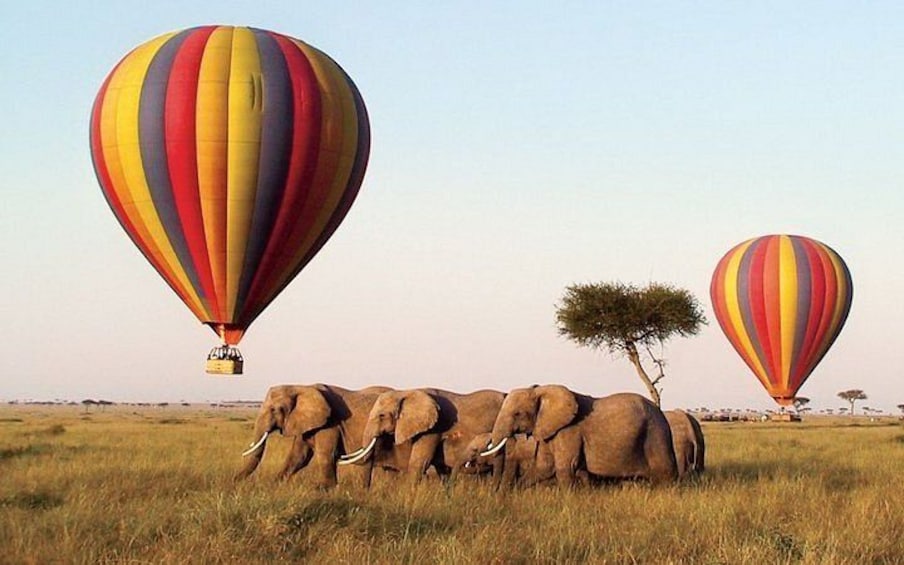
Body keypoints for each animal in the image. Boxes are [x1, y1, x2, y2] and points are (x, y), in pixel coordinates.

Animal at [235, 384, 391, 488]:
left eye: (274, 409)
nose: (234, 481)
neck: (301, 387)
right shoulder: (304, 423)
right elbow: (298, 457)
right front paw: (274, 486)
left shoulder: (330, 423)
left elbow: (326, 455)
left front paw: (327, 491)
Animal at [482, 386, 678, 487]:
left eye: (517, 414)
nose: (496, 493)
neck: (542, 390)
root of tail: (661, 413)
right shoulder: (549, 429)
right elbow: (544, 467)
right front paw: (517, 491)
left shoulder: (569, 431)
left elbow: (565, 467)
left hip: (655, 434)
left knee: (665, 475)